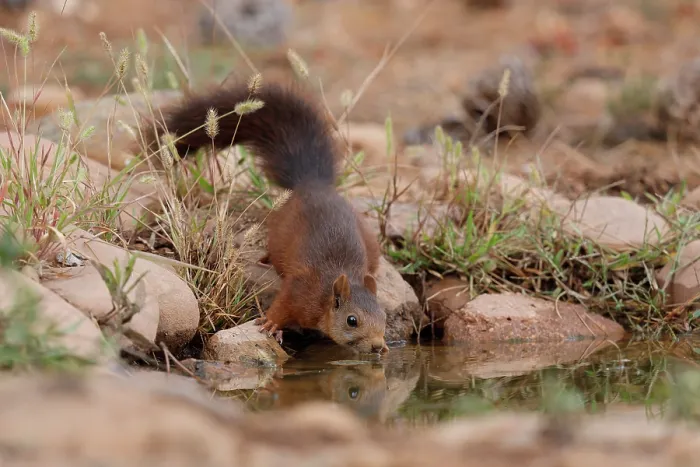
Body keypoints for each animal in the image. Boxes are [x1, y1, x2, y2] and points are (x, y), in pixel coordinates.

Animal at [142, 81, 389, 355]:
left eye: (384, 317)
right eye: (352, 320)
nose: (378, 346)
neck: (327, 293)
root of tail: (312, 183)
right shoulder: (299, 291)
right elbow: (282, 307)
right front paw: (271, 323)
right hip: (279, 234)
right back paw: (265, 258)